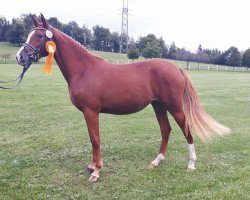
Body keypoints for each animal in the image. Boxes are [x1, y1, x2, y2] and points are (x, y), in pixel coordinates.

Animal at [16, 14, 230, 182]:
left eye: (39, 35)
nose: (20, 57)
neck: (84, 70)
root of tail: (176, 68)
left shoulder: (91, 112)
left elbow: (95, 139)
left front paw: (96, 171)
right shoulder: (89, 113)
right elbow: (92, 139)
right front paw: (92, 166)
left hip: (174, 106)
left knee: (186, 129)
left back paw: (191, 164)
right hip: (158, 105)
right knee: (166, 130)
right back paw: (156, 161)